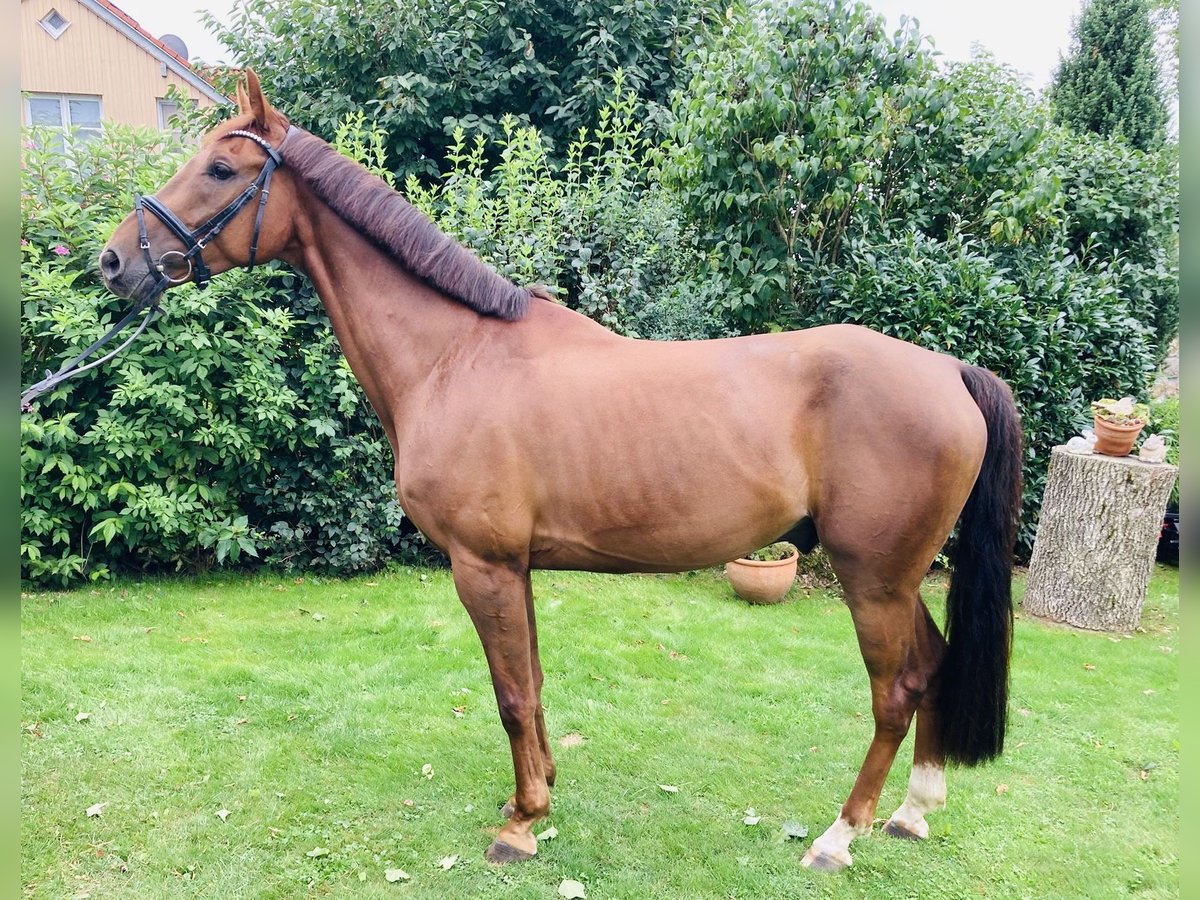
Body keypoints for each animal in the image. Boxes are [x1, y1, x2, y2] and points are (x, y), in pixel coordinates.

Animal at [97, 70, 1022, 872]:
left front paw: (520, 825)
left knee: (895, 691)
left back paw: (838, 835)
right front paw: (539, 795)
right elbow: (534, 684)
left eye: (222, 167)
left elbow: (509, 695)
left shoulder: (483, 566)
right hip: (892, 578)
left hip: (874, 579)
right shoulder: (518, 568)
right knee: (931, 668)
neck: (455, 355)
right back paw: (913, 811)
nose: (112, 263)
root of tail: (949, 370)